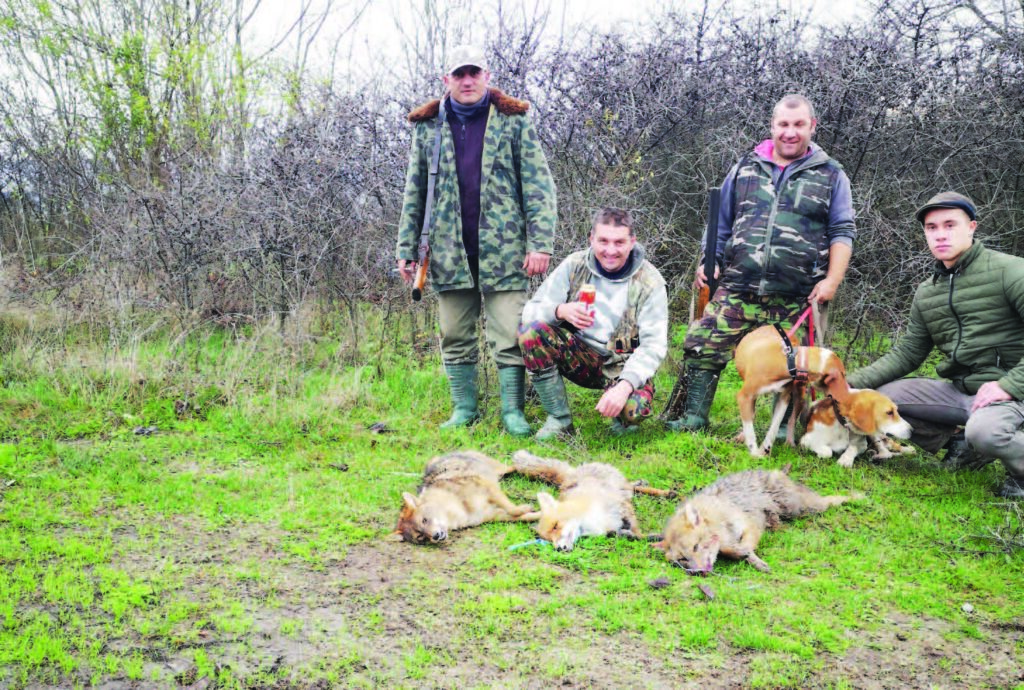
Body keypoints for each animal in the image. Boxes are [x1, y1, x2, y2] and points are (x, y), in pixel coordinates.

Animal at [395, 450, 540, 544]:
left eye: (424, 520)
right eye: (420, 536)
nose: (435, 536)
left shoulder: (487, 486)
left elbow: (512, 508)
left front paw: (524, 508)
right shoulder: (495, 515)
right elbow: (526, 516)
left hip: (501, 470)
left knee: (516, 466)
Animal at [511, 449, 676, 552]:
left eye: (556, 526)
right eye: (548, 538)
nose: (558, 548)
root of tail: (571, 475)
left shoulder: (622, 507)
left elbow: (638, 532)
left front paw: (653, 537)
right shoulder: (610, 529)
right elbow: (622, 534)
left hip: (620, 486)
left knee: (632, 486)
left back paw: (664, 492)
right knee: (633, 488)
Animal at [653, 465, 859, 574]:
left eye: (696, 547)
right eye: (683, 560)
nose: (700, 571)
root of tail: (775, 470)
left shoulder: (749, 525)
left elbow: (735, 546)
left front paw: (745, 554)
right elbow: (730, 549)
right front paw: (746, 557)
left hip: (801, 507)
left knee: (829, 499)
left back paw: (857, 497)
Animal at [733, 324, 846, 457]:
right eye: (843, 374)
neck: (789, 361)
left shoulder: (784, 398)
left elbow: (774, 427)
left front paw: (765, 450)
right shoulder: (744, 396)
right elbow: (750, 429)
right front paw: (755, 452)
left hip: (799, 394)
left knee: (791, 419)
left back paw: (790, 442)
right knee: (751, 414)